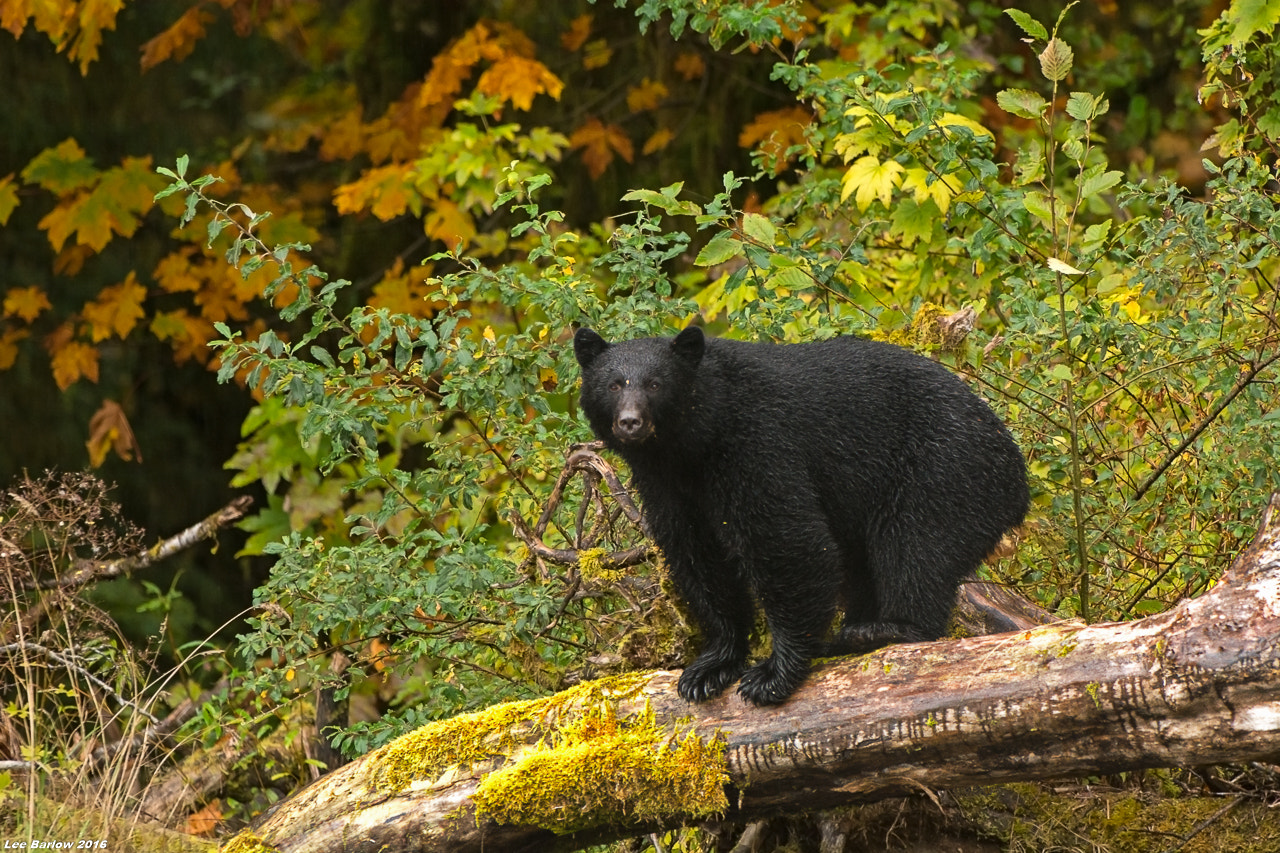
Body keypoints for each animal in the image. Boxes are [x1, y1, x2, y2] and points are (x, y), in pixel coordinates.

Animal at [573, 325, 1029, 701]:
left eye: (655, 383)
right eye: (613, 384)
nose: (631, 422)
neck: (694, 444)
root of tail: (1018, 477)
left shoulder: (758, 442)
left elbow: (786, 539)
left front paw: (773, 673)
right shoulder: (669, 487)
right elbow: (698, 557)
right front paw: (711, 666)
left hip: (943, 469)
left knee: (915, 548)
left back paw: (880, 630)